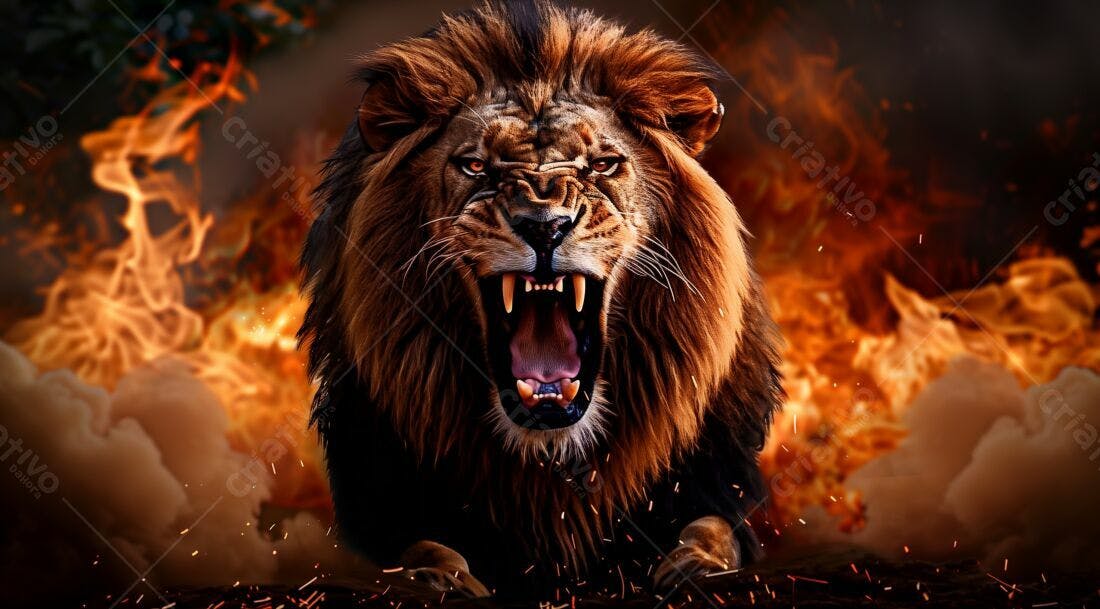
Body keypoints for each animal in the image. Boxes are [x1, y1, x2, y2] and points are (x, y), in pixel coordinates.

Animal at [298, 0, 782, 599]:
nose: (544, 225)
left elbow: (712, 528)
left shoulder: (712, 482)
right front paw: (443, 579)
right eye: (475, 166)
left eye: (602, 165)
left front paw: (695, 568)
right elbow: (418, 547)